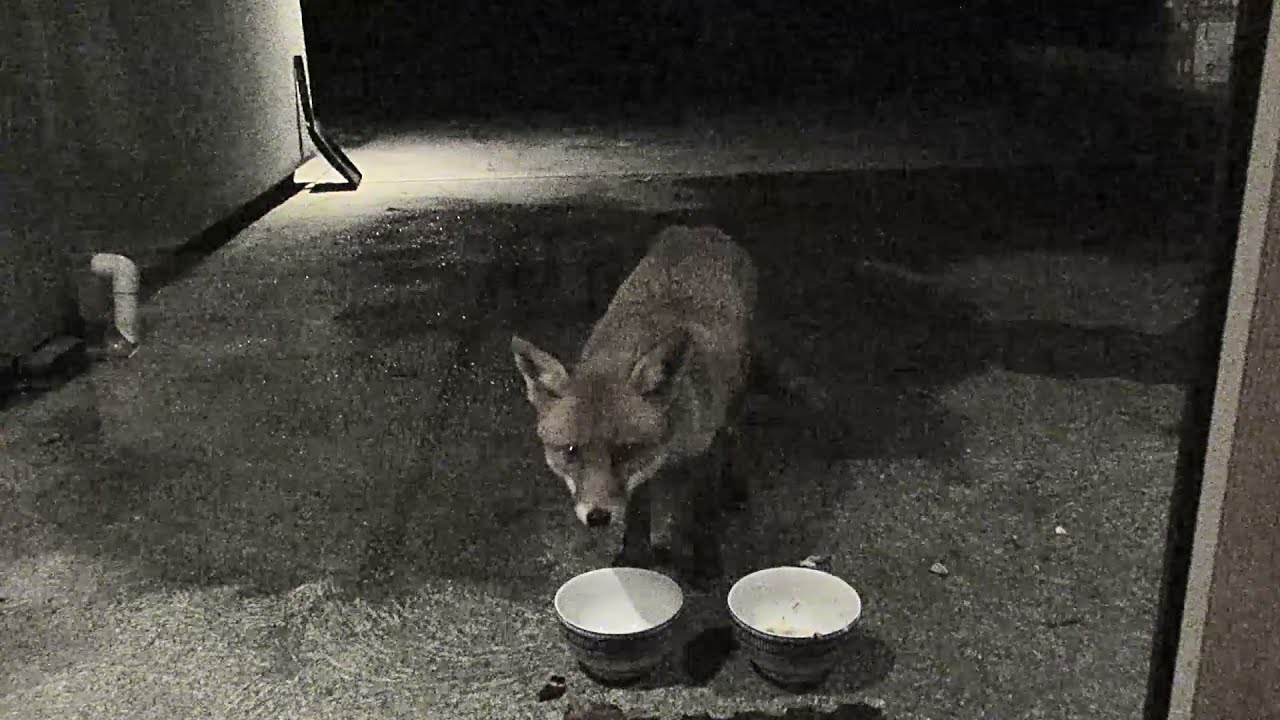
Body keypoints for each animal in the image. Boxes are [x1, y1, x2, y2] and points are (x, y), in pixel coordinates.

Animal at [511, 225, 757, 571]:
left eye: (626, 450)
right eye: (571, 451)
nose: (598, 517)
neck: (670, 445)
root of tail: (699, 230)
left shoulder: (704, 452)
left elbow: (704, 517)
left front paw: (706, 563)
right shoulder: (643, 479)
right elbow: (638, 514)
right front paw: (634, 557)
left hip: (736, 393)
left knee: (737, 432)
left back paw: (735, 486)